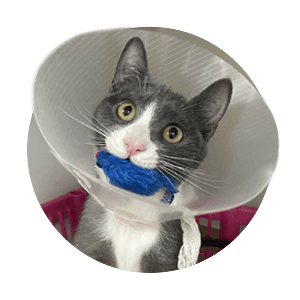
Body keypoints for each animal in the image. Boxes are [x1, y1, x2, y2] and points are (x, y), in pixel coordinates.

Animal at [72, 36, 232, 274]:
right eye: (126, 110)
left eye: (173, 133)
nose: (133, 144)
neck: (130, 216)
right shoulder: (90, 239)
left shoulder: (167, 254)